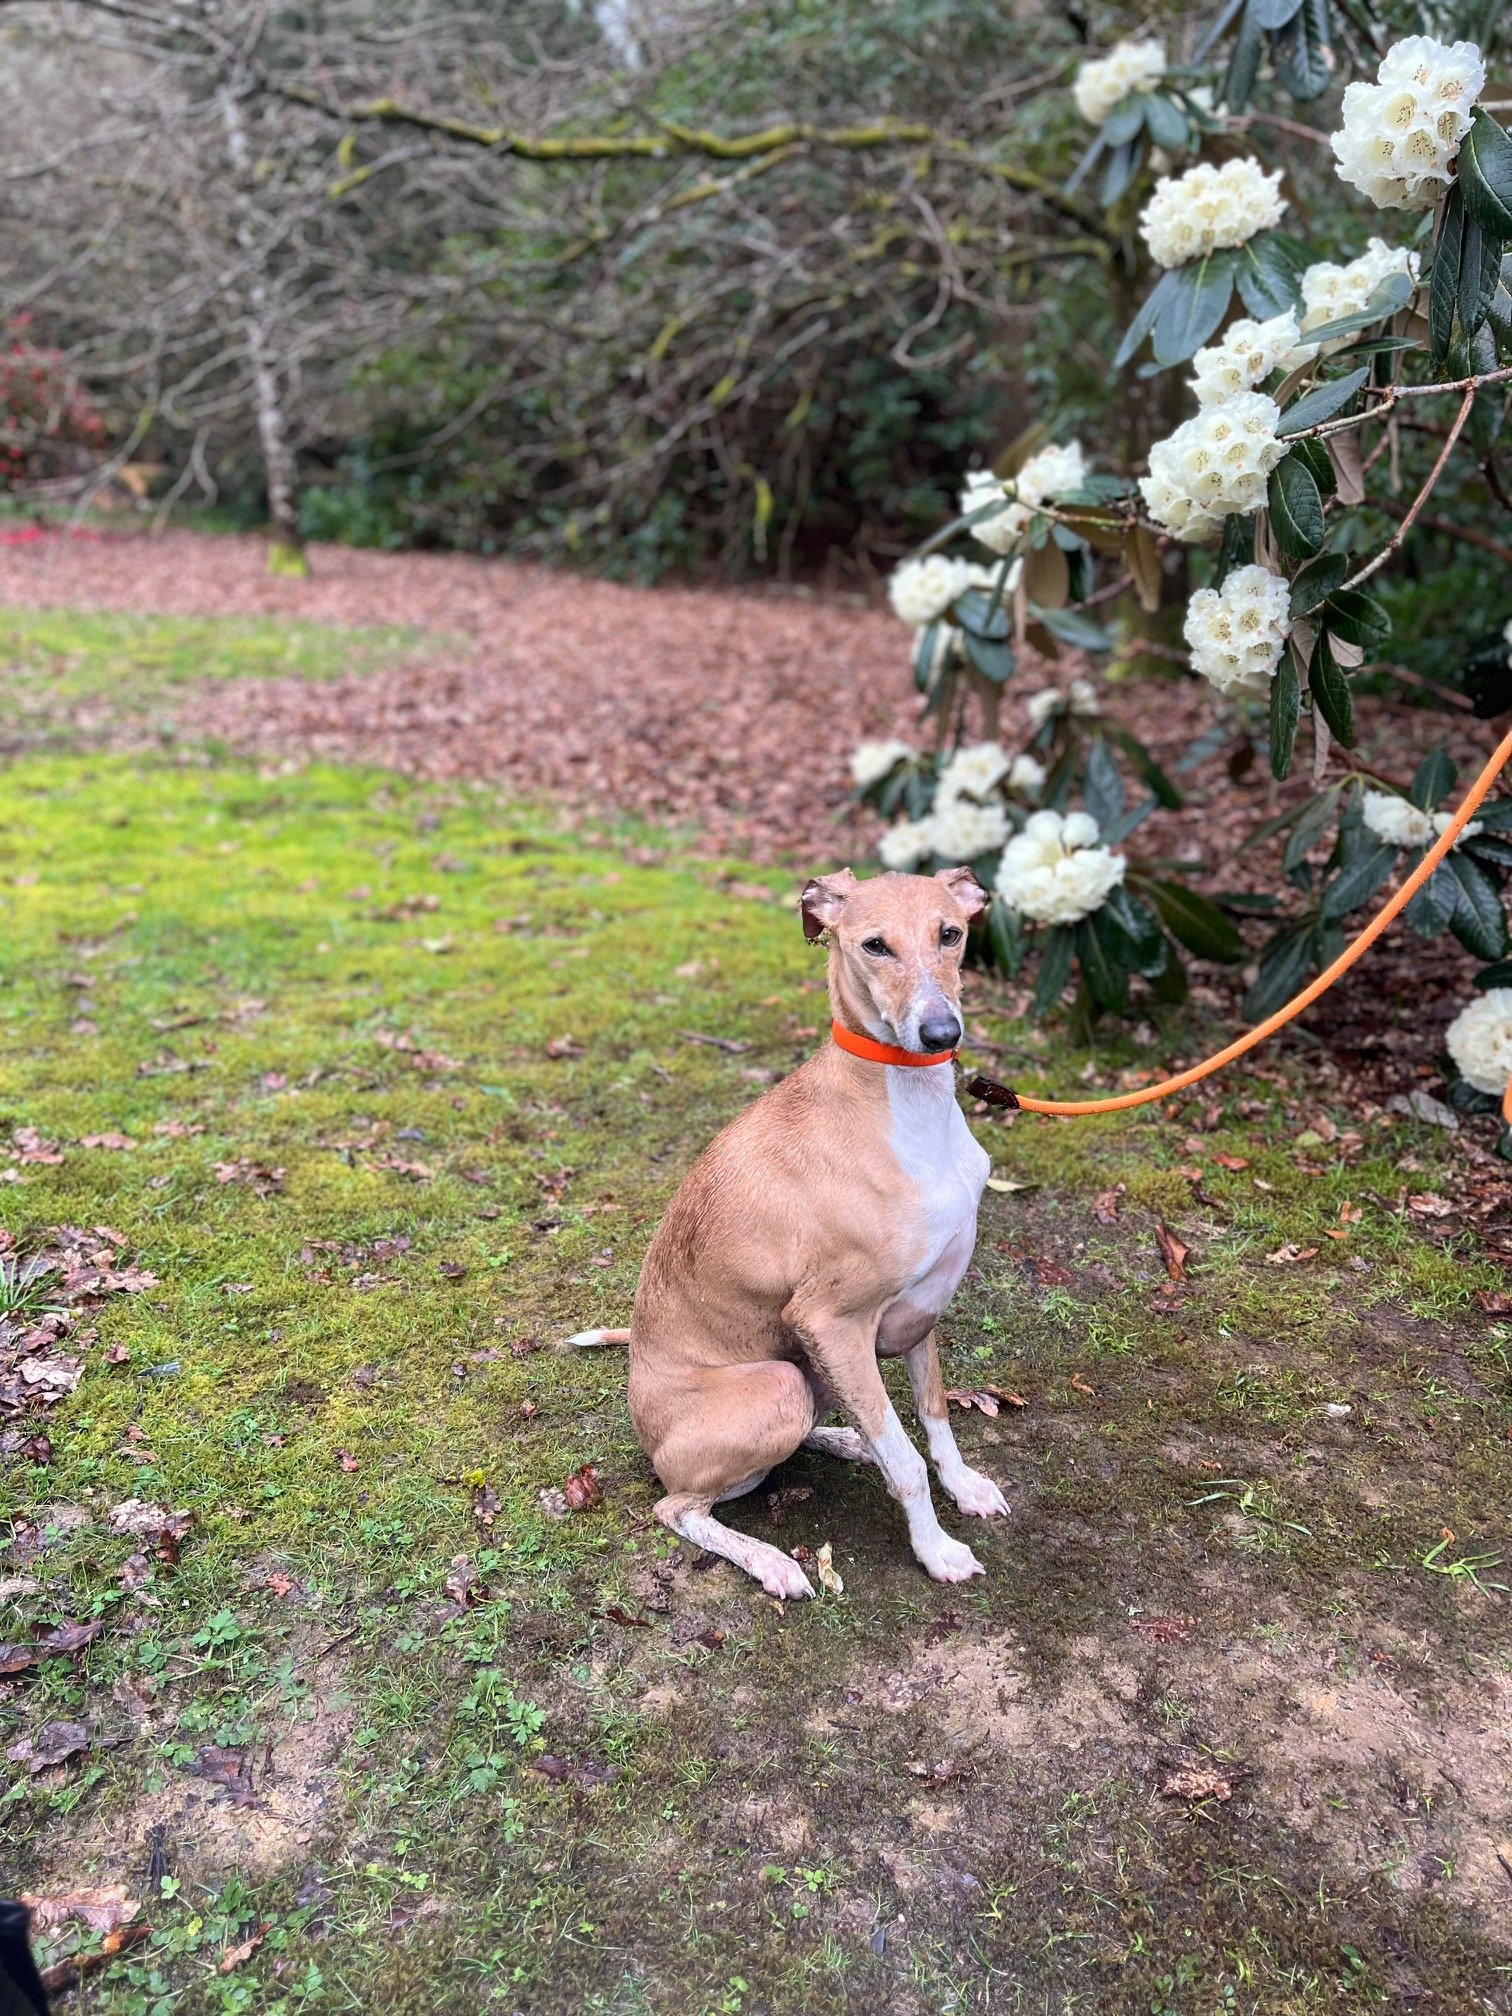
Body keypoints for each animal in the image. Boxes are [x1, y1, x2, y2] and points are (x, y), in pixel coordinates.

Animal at [568, 858, 1008, 1596]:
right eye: (874, 946)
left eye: (950, 934)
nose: (941, 1035)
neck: (907, 1108)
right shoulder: (831, 1320)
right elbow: (907, 1464)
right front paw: (935, 1550)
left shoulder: (921, 1312)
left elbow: (934, 1418)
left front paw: (966, 1487)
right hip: (778, 1384)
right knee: (679, 1507)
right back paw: (770, 1561)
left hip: (810, 1374)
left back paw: (844, 1441)